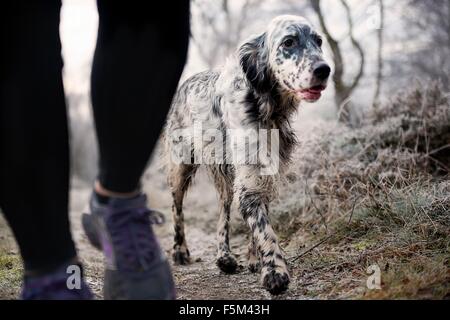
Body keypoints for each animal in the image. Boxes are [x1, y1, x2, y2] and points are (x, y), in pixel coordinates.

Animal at [164, 15, 330, 296]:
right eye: (289, 42)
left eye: (318, 41)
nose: (324, 69)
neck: (266, 106)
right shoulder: (250, 178)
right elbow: (265, 231)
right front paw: (275, 272)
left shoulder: (262, 175)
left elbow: (259, 221)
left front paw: (255, 259)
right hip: (181, 166)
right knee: (177, 208)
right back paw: (180, 251)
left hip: (226, 178)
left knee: (223, 210)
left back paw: (225, 256)